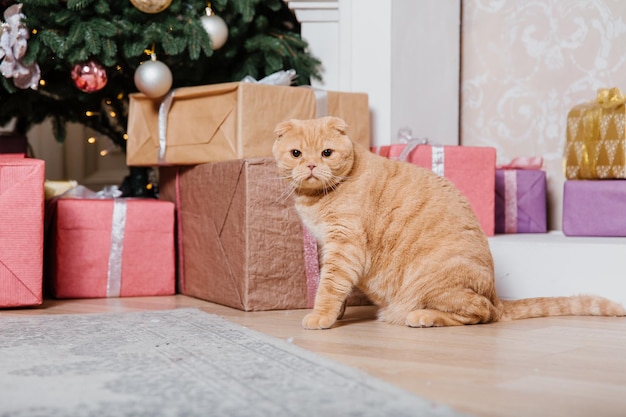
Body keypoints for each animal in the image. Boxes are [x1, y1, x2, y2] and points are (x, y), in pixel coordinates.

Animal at [272, 116, 624, 328]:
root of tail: (496, 295)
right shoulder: (329, 247)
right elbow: (335, 287)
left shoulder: (345, 245)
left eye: (327, 153)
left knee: (479, 313)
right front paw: (338, 313)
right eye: (296, 153)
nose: (312, 166)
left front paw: (321, 316)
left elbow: (330, 286)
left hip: (434, 283)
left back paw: (422, 316)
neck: (316, 199)